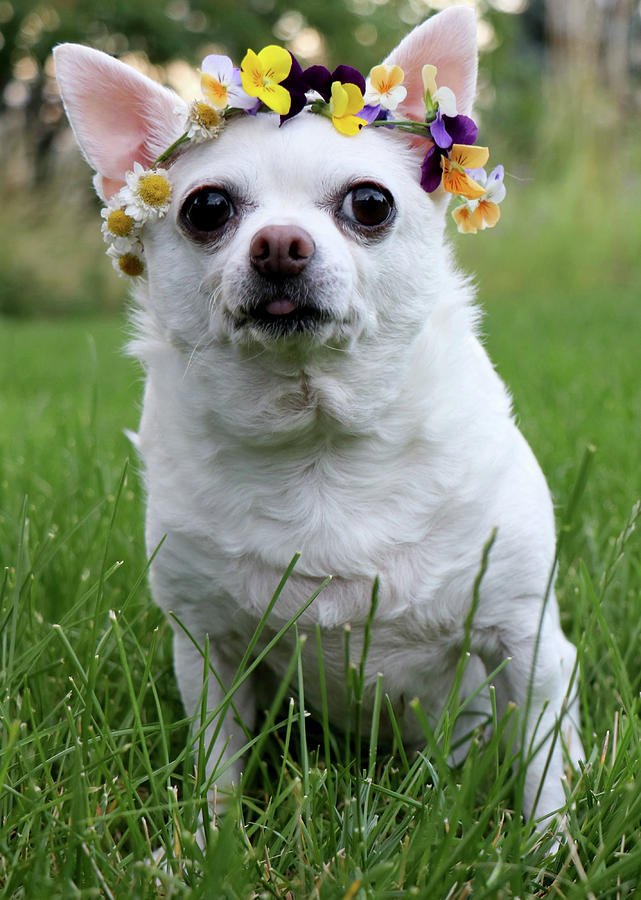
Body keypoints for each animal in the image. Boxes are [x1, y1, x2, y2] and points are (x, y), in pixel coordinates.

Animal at [55, 3, 584, 828]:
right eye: (206, 209)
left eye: (369, 204)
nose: (279, 244)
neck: (319, 444)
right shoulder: (207, 651)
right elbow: (218, 769)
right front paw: (205, 843)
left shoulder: (527, 643)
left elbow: (544, 774)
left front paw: (549, 847)